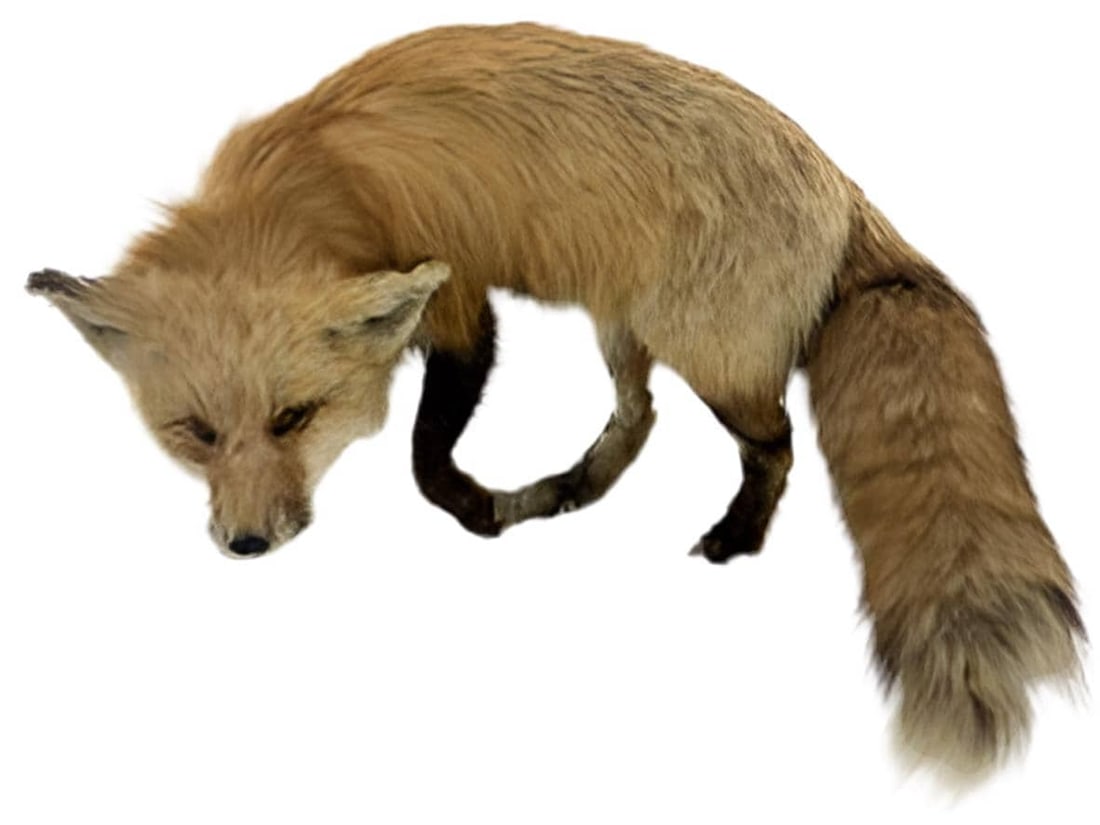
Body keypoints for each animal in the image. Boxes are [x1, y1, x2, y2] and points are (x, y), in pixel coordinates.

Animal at [27, 23, 1083, 778]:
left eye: (295, 418)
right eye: (196, 433)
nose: (248, 545)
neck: (308, 187)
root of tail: (840, 184)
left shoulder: (457, 303)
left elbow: (424, 458)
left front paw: (475, 510)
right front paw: (499, 506)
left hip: (711, 357)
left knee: (774, 443)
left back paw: (735, 535)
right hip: (622, 325)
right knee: (639, 417)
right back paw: (571, 487)